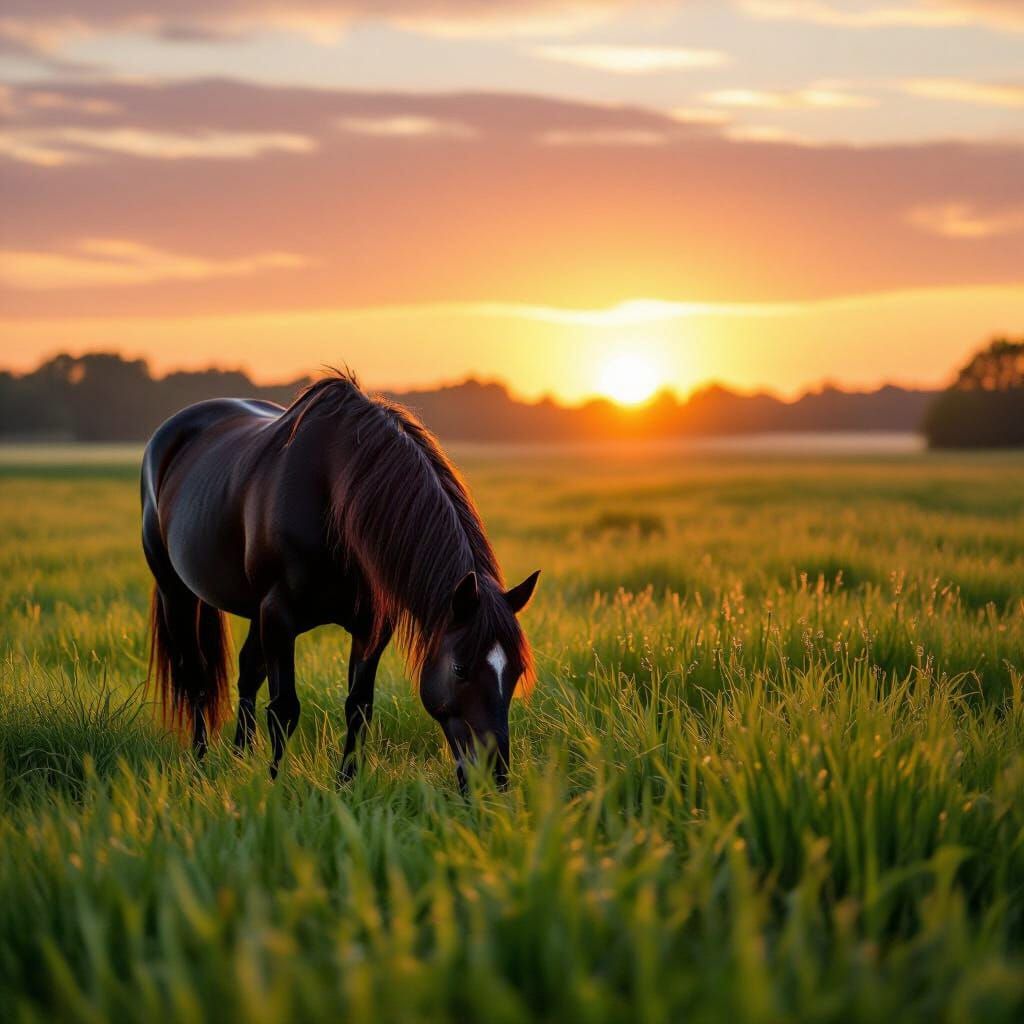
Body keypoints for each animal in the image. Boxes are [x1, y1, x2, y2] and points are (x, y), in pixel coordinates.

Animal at [141, 371, 540, 789]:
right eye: (461, 669)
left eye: (517, 670)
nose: (494, 776)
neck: (331, 493)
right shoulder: (279, 615)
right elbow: (284, 709)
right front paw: (275, 785)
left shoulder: (372, 627)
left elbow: (358, 707)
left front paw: (345, 784)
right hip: (177, 592)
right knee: (196, 678)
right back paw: (200, 762)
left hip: (253, 611)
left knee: (248, 672)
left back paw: (239, 758)